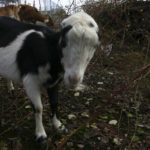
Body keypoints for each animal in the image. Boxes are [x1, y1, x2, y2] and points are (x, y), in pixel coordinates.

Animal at [0, 12, 99, 142]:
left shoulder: (55, 81)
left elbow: (54, 102)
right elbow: (38, 108)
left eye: (95, 46)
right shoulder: (30, 80)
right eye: (63, 43)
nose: (74, 80)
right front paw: (41, 134)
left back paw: (10, 88)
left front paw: (58, 125)